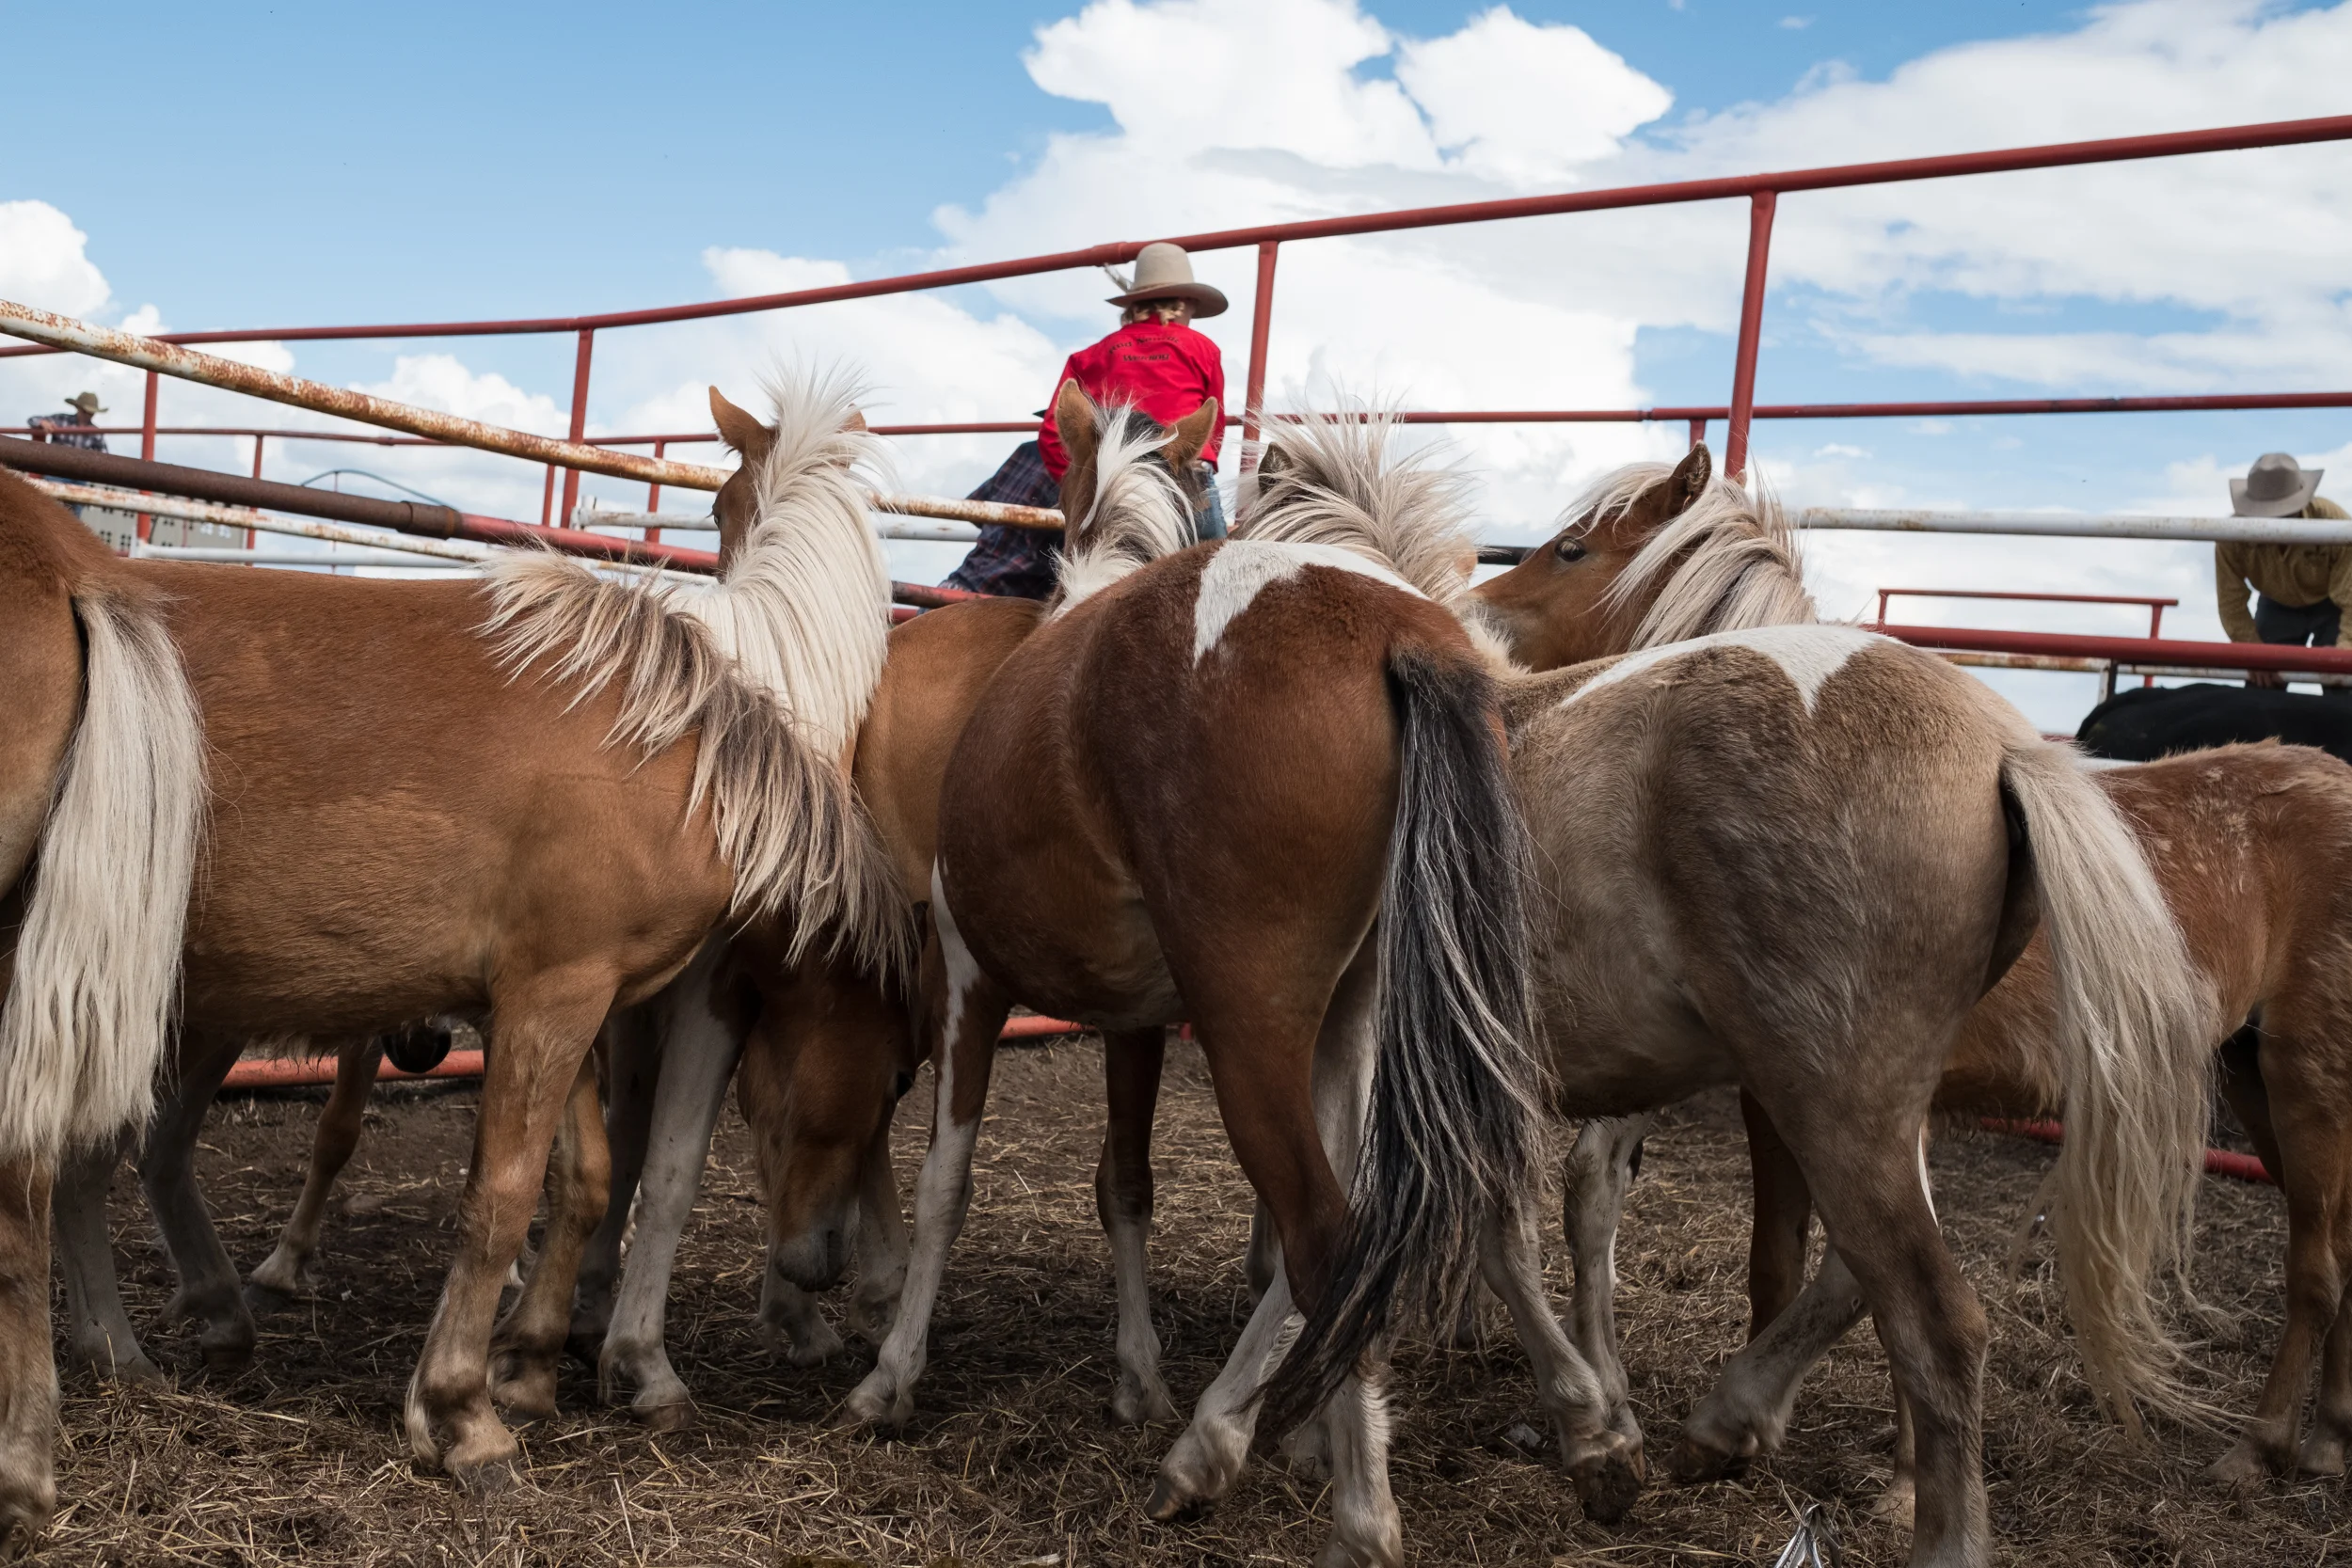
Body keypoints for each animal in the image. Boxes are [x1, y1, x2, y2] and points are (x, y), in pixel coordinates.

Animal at [0, 370, 901, 1548]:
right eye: (717, 505)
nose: (819, 1266)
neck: (689, 729)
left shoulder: (558, 996)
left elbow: (586, 1176)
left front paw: (526, 1366)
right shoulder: (571, 994)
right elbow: (514, 1193)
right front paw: (472, 1411)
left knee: (95, 1164)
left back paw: (140, 1347)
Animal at [1463, 453, 2214, 1567]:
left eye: (1569, 550)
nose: (1474, 614)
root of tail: (2002, 750)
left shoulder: (1752, 1099)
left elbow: (1738, 1245)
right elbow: (1815, 1269)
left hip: (1838, 1102)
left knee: (1940, 1322)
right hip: (1859, 1103)